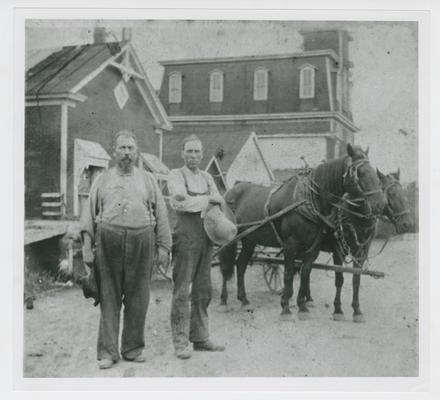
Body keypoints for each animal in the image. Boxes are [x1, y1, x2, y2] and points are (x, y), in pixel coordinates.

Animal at [219, 145, 384, 318]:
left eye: (374, 173)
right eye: (360, 172)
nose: (380, 204)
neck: (308, 201)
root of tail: (229, 192)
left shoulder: (316, 248)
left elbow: (306, 273)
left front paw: (302, 306)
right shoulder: (292, 245)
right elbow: (289, 275)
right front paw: (286, 307)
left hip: (249, 240)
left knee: (240, 264)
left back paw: (244, 300)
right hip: (229, 239)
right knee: (225, 266)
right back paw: (223, 301)